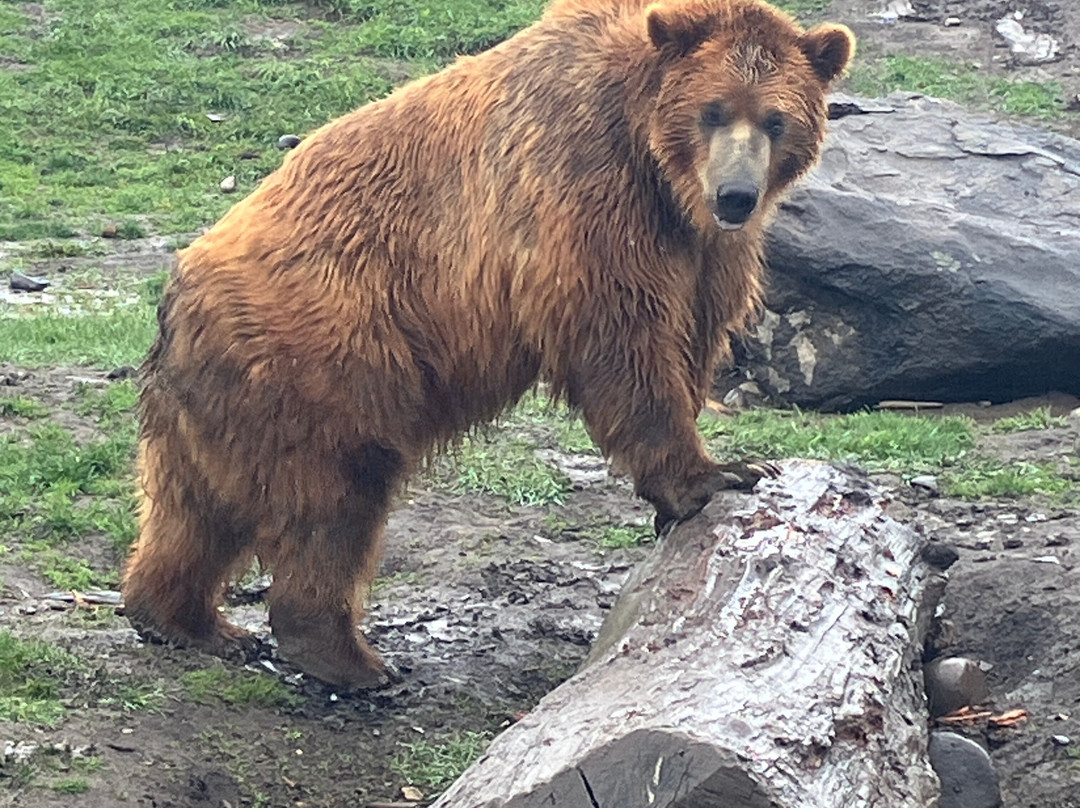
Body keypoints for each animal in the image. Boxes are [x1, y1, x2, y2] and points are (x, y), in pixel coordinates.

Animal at [122, 0, 854, 689]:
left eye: (776, 120)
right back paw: (347, 656)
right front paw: (714, 476)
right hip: (325, 354)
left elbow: (695, 331)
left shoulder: (704, 249)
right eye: (712, 111)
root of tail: (176, 295)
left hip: (222, 399)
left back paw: (185, 619)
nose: (736, 194)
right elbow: (623, 339)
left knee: (196, 511)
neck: (659, 166)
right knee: (334, 500)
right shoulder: (588, 189)